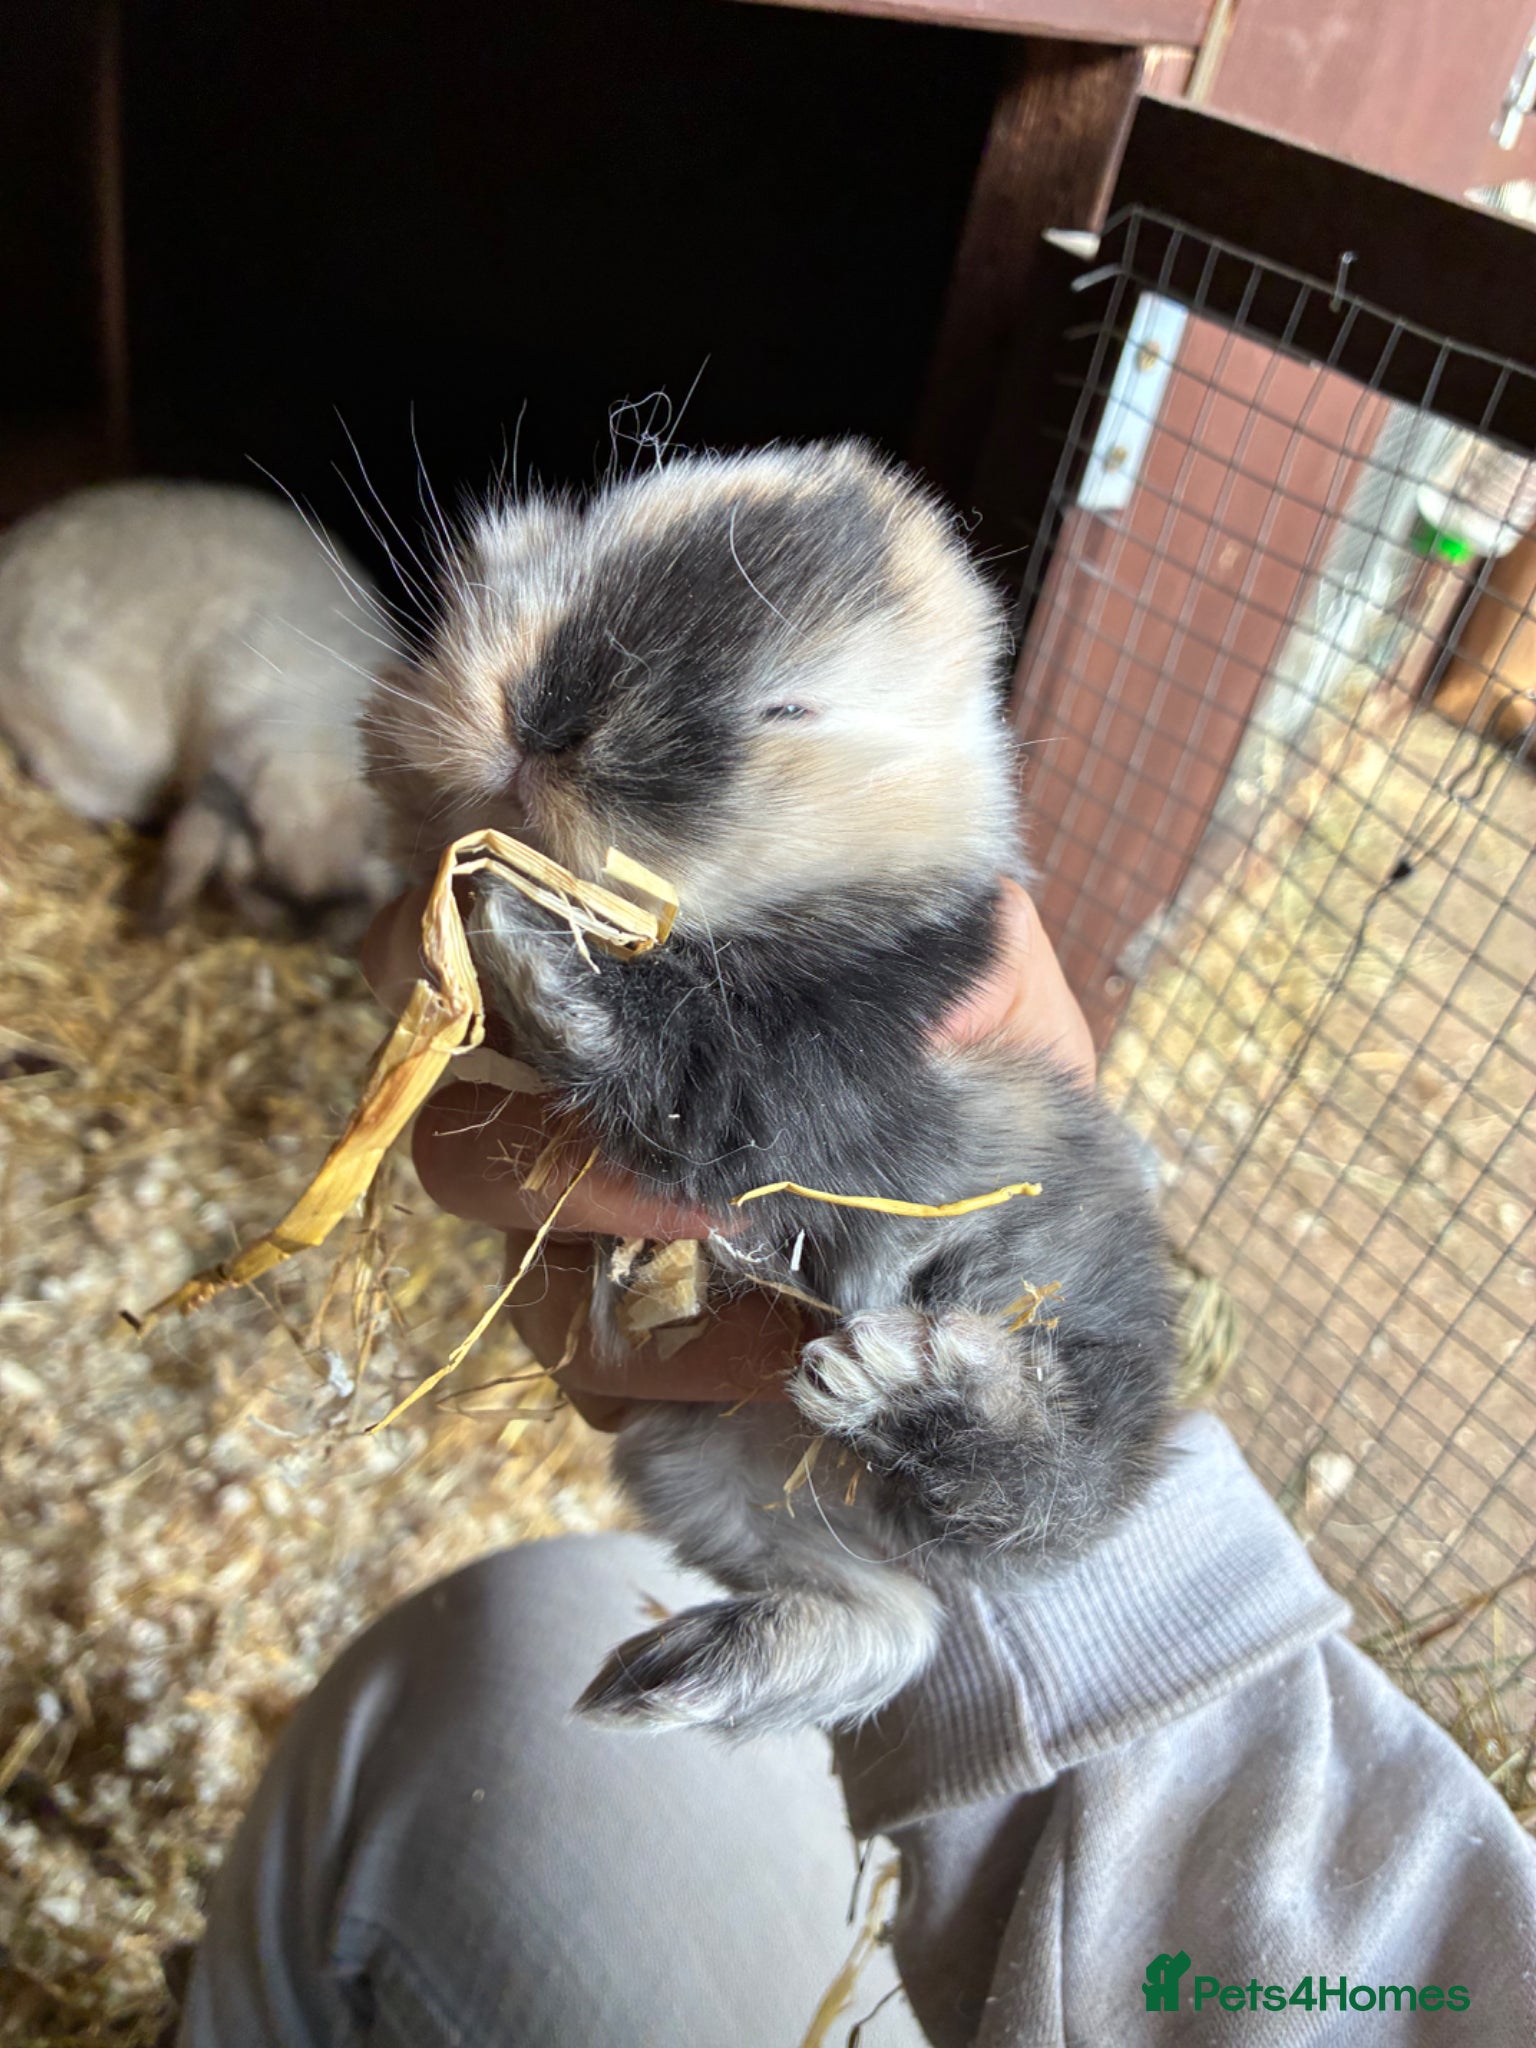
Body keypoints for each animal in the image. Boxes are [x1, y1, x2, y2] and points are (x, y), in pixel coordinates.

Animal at [366, 441, 1178, 1737]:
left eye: (789, 708)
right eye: (590, 544)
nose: (544, 726)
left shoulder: (790, 1084)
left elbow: (678, 1064)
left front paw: (524, 933)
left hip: (1050, 1338)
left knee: (1043, 1489)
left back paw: (910, 1379)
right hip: (712, 1471)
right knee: (893, 1621)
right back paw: (661, 1680)